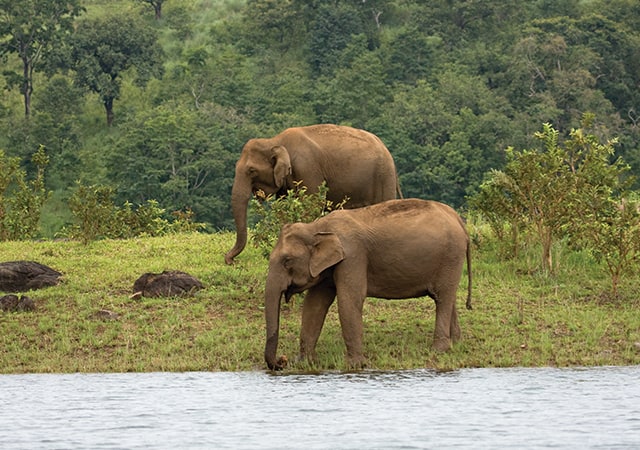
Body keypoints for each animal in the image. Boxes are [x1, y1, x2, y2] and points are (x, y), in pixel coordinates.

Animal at [222, 124, 398, 264]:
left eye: (251, 170)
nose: (230, 260)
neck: (275, 141)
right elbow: (283, 208)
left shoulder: (307, 168)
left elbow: (312, 205)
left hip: (383, 176)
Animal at [262, 199, 472, 370]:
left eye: (287, 261)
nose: (282, 361)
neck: (316, 227)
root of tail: (458, 219)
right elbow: (314, 304)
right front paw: (304, 363)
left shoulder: (353, 256)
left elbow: (349, 300)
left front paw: (355, 365)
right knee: (447, 298)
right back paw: (456, 343)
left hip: (451, 256)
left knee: (443, 298)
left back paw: (439, 350)